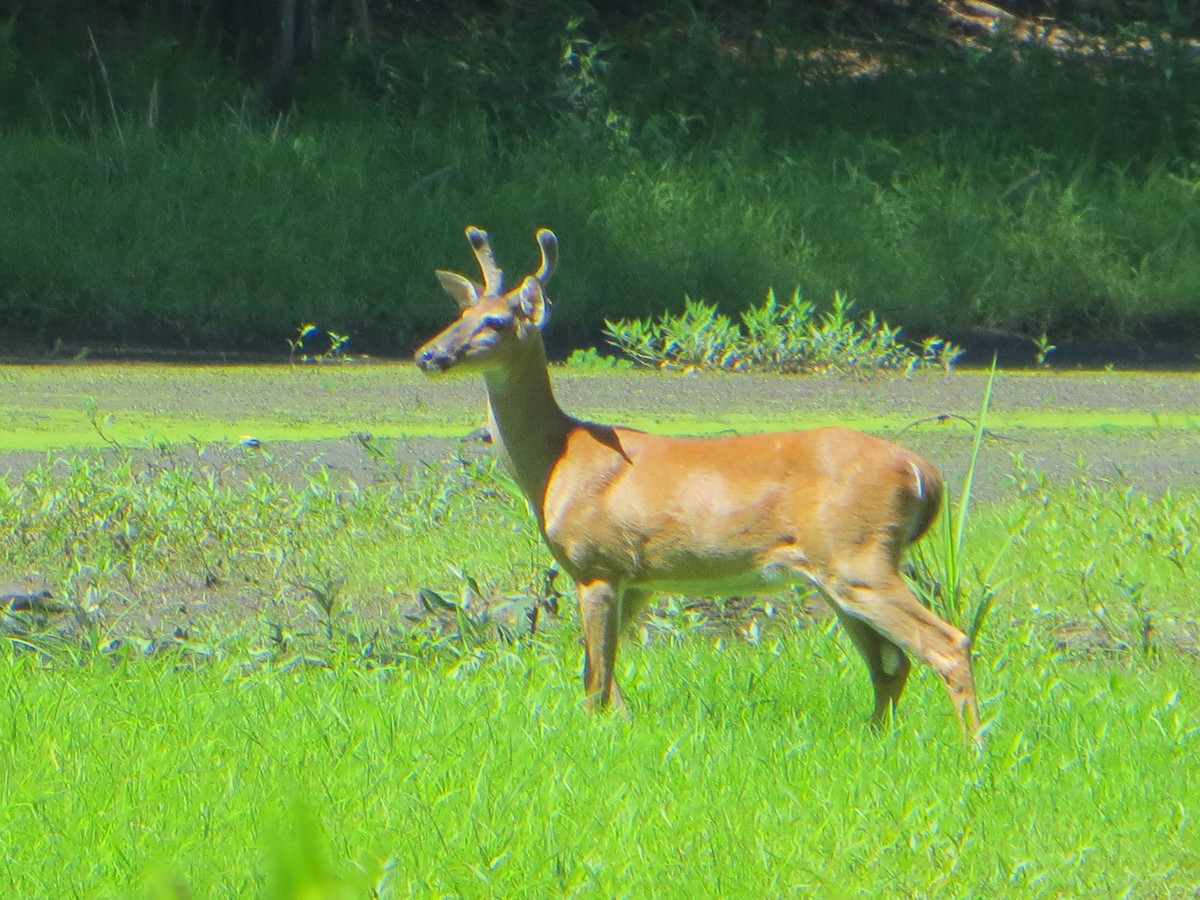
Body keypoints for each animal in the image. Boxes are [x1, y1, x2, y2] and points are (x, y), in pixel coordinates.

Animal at [415, 225, 982, 745]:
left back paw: (972, 749)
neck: (558, 460)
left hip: (858, 557)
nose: (428, 355)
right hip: (839, 571)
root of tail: (922, 471)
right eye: (458, 315)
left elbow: (595, 679)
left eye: (494, 322)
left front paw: (587, 740)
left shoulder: (595, 563)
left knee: (946, 643)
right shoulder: (637, 578)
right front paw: (623, 729)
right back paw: (876, 738)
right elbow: (609, 680)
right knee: (891, 665)